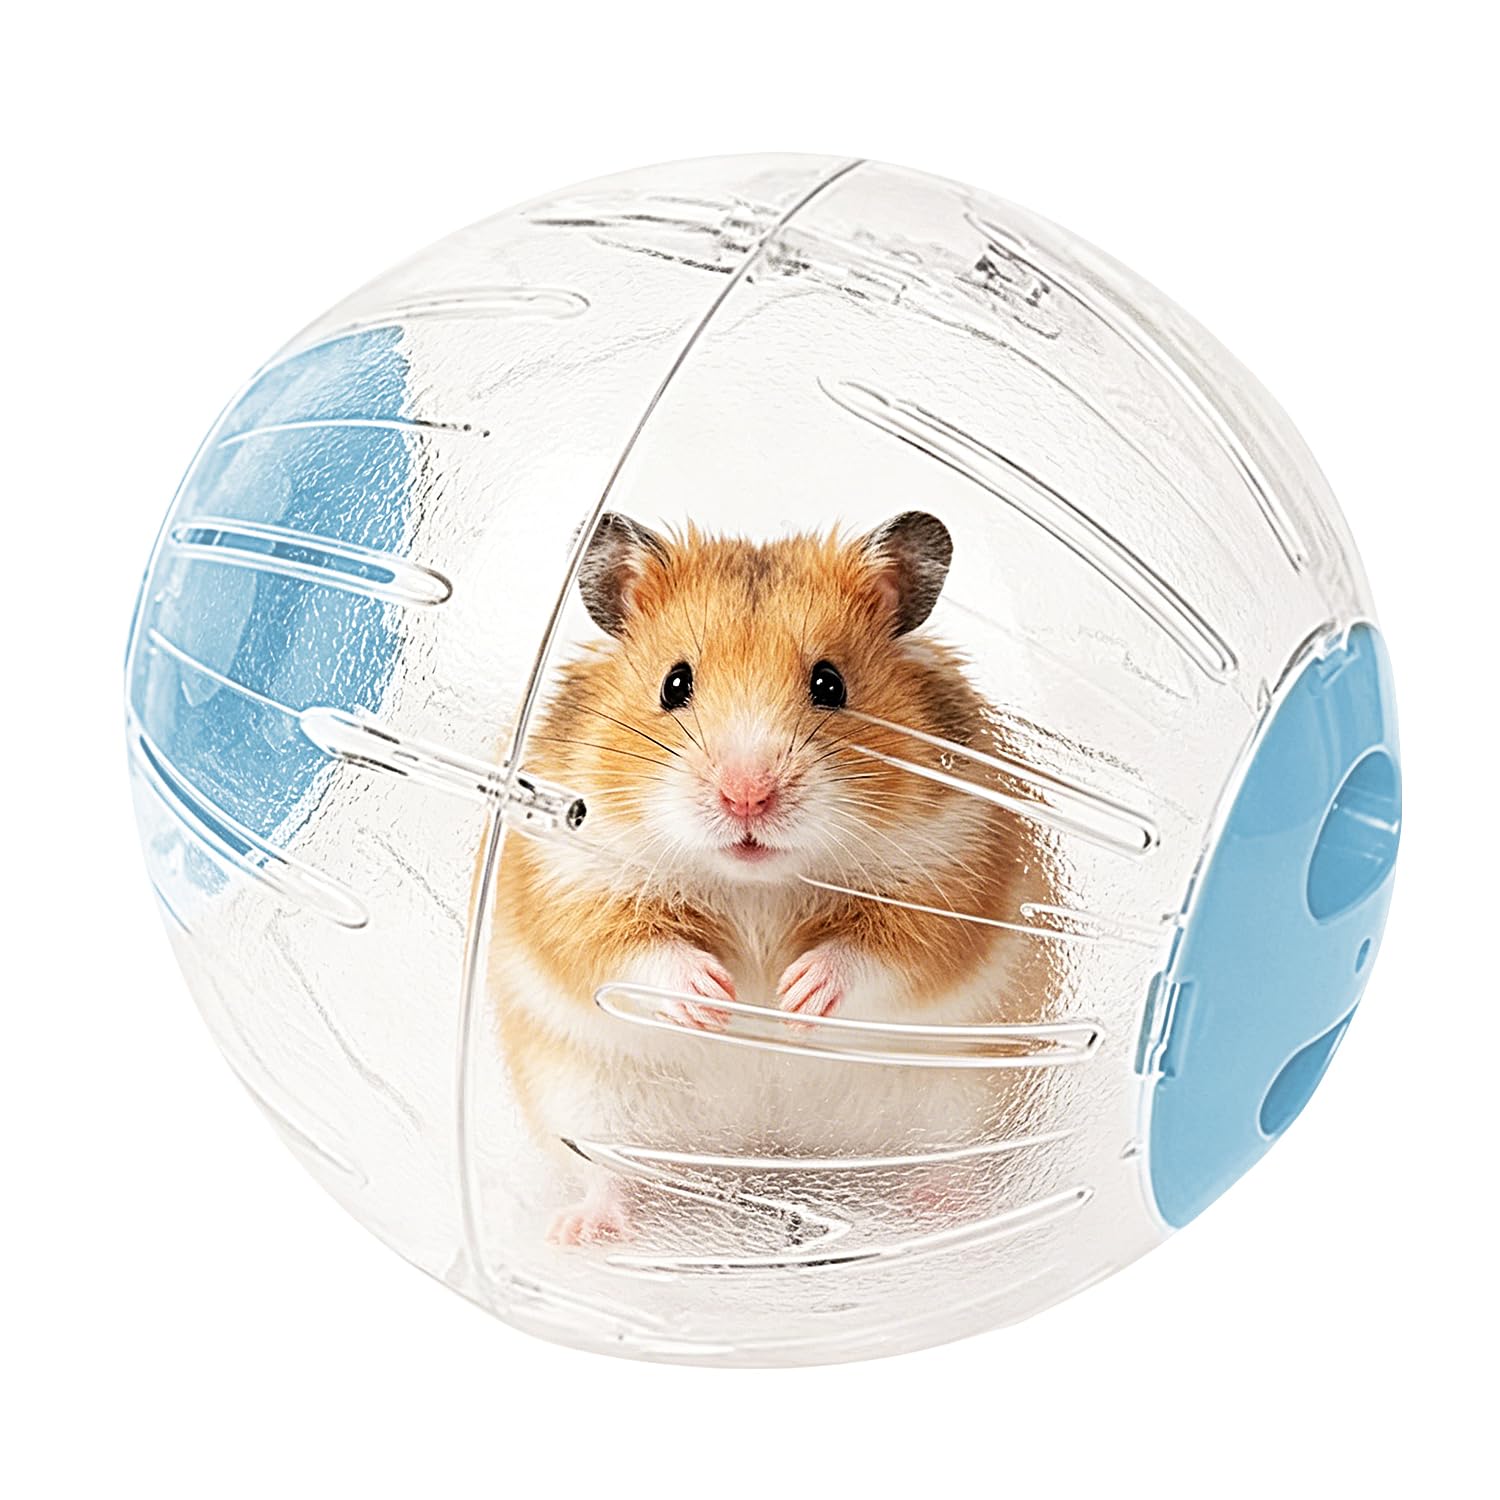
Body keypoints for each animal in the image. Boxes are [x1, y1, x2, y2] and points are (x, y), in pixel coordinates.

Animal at [487, 510, 1056, 1244]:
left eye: (830, 684)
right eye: (675, 683)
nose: (747, 797)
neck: (757, 885)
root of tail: (768, 1148)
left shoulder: (957, 872)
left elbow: (883, 951)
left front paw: (792, 998)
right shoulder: (569, 881)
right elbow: (631, 951)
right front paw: (716, 1000)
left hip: (964, 1096)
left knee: (952, 1162)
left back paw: (954, 1210)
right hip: (583, 1102)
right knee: (606, 1173)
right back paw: (579, 1233)